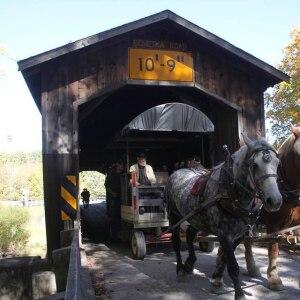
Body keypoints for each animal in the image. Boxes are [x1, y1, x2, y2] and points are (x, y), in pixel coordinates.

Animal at [165, 136, 282, 300]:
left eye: (277, 163)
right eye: (254, 165)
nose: (275, 201)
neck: (229, 192)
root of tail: (177, 172)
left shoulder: (239, 235)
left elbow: (225, 258)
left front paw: (217, 280)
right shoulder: (225, 234)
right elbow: (232, 266)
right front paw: (239, 293)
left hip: (196, 217)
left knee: (189, 235)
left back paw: (189, 263)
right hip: (174, 215)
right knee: (175, 240)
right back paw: (181, 269)